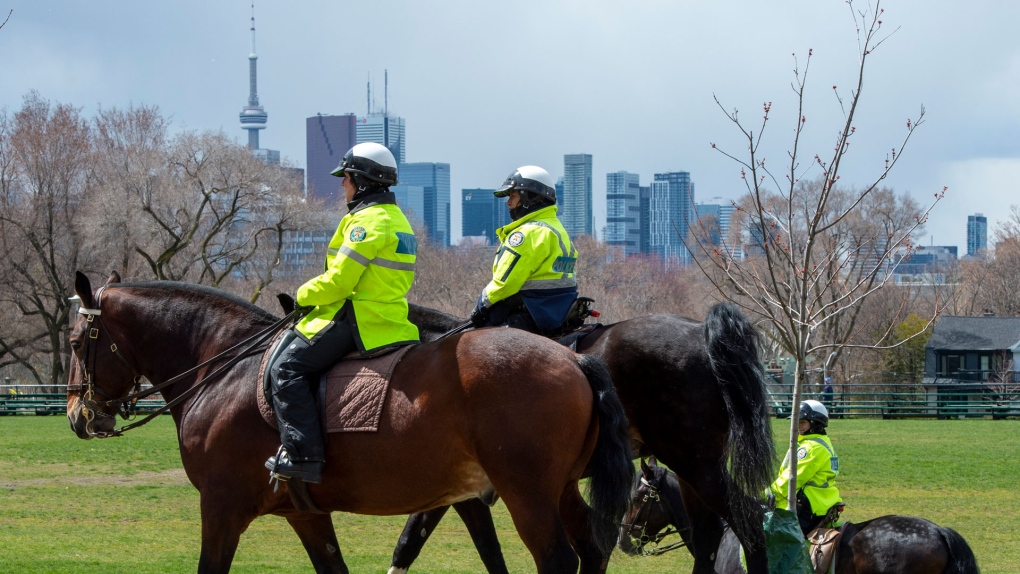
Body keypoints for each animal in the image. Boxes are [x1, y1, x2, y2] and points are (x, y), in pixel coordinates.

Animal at [63, 275, 632, 574]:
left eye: (73, 342)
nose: (76, 415)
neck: (222, 368)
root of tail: (573, 358)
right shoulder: (306, 514)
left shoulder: (221, 508)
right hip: (557, 490)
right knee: (591, 547)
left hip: (528, 494)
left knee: (557, 559)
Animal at [385, 305, 775, 574]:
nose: (628, 541)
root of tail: (701, 332)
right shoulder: (454, 490)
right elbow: (412, 543)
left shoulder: (463, 491)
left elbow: (474, 549)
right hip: (691, 468)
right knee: (708, 536)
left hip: (695, 462)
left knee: (749, 525)